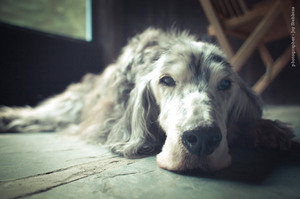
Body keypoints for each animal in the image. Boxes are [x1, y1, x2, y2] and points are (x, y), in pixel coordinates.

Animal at [0, 28, 294, 172]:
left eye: (225, 84)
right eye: (167, 80)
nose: (201, 139)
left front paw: (269, 130)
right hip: (72, 105)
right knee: (45, 113)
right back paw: (10, 117)